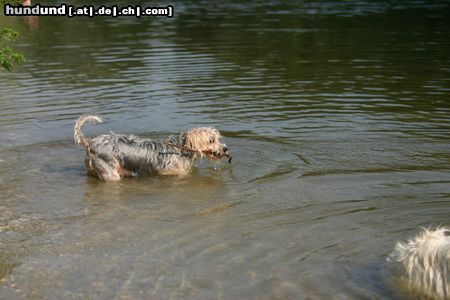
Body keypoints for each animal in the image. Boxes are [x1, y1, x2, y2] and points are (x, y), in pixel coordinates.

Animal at [74, 115, 232, 180]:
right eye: (211, 140)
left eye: (219, 139)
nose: (225, 149)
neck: (181, 148)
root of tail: (90, 142)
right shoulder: (172, 172)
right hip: (109, 173)